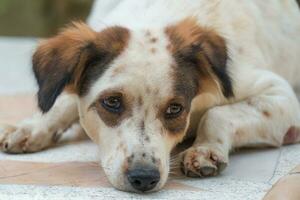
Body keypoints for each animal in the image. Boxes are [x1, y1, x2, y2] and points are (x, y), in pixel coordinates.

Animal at [0, 0, 300, 194]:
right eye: (112, 102)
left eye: (175, 109)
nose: (143, 178)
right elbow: (63, 101)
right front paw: (31, 127)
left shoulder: (280, 96)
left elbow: (216, 114)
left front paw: (205, 149)